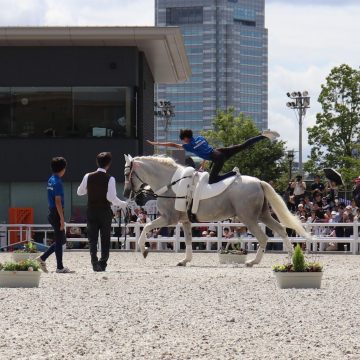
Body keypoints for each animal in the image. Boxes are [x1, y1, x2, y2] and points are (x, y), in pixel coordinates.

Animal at [123, 155, 310, 268]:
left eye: (127, 174)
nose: (126, 193)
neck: (170, 183)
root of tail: (258, 182)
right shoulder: (185, 221)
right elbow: (188, 240)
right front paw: (185, 260)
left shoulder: (169, 219)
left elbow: (146, 227)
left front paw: (144, 250)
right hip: (263, 215)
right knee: (281, 230)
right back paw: (291, 260)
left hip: (248, 218)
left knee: (264, 237)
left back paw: (252, 262)